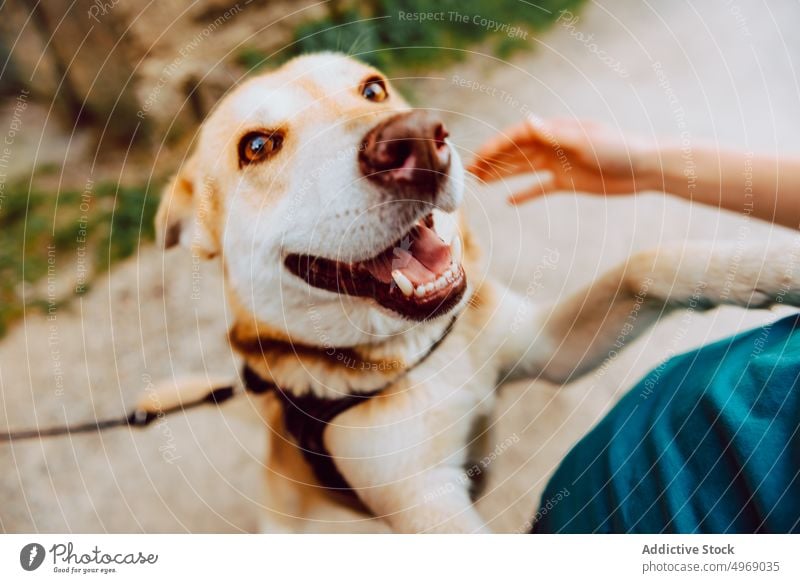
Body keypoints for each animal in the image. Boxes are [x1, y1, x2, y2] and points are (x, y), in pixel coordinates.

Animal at [155, 52, 800, 532]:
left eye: (373, 89)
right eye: (256, 147)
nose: (418, 140)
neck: (414, 356)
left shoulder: (546, 348)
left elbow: (649, 261)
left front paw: (769, 267)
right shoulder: (424, 500)